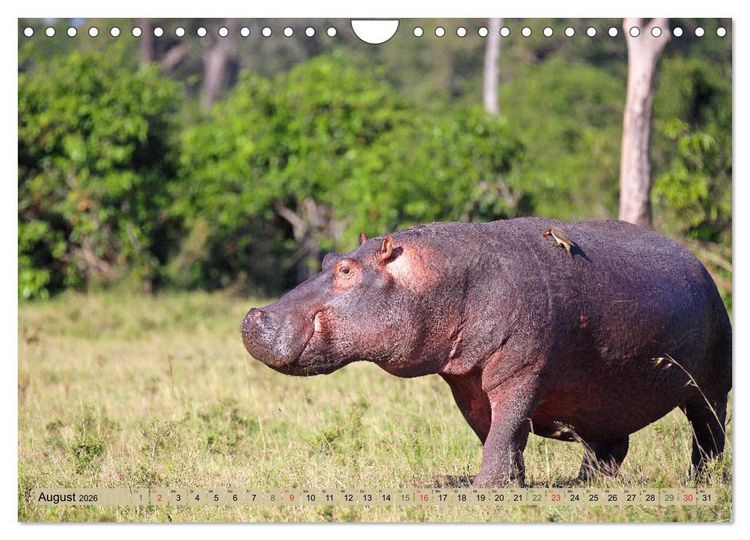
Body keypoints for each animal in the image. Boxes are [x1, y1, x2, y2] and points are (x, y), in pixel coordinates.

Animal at [241, 218, 731, 486]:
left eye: (345, 270)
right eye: (327, 259)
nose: (253, 316)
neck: (444, 278)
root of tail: (699, 264)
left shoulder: (522, 372)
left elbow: (506, 426)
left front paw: (485, 488)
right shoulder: (466, 382)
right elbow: (495, 433)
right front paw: (512, 483)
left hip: (710, 386)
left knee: (708, 435)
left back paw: (699, 481)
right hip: (605, 395)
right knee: (609, 445)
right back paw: (583, 484)